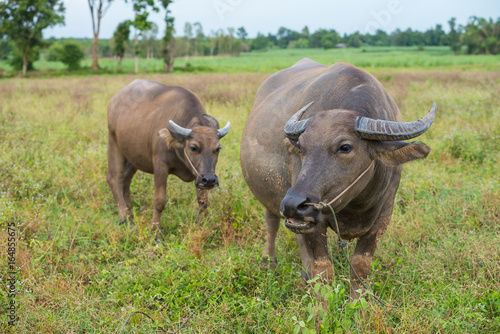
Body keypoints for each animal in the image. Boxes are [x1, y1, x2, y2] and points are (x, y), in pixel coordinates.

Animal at [107, 79, 230, 234]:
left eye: (218, 148)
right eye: (193, 147)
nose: (209, 180)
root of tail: (114, 100)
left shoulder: (200, 176)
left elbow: (203, 201)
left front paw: (204, 226)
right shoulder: (161, 166)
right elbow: (160, 201)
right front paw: (155, 230)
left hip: (133, 155)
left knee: (126, 179)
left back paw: (130, 211)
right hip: (113, 142)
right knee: (114, 178)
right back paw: (125, 218)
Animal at [240, 58, 436, 298]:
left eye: (345, 147)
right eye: (301, 148)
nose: (294, 204)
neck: (357, 204)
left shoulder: (384, 215)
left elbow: (360, 267)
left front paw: (356, 303)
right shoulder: (315, 219)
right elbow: (323, 269)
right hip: (272, 195)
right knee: (272, 223)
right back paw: (268, 263)